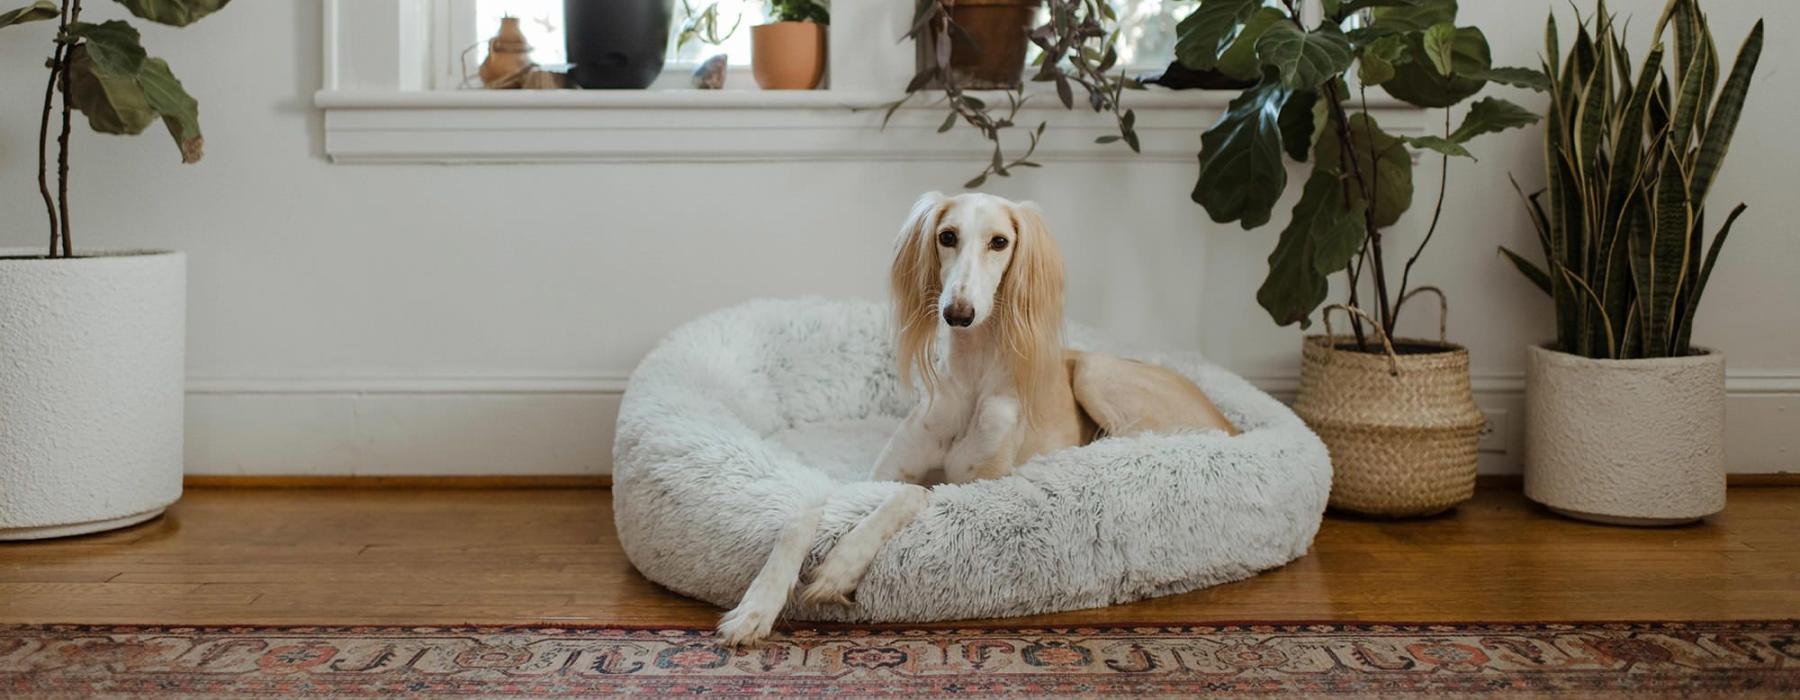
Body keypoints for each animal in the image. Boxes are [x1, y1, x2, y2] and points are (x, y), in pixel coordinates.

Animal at [716, 190, 1238, 644]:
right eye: (947, 236)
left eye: (999, 242)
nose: (958, 312)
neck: (971, 383)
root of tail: (1231, 423)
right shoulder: (874, 477)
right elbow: (805, 513)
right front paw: (756, 607)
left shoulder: (979, 489)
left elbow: (913, 494)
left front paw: (840, 567)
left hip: (1096, 373)